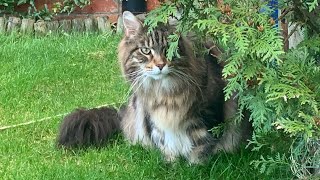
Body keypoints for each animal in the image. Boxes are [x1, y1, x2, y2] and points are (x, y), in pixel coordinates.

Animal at [57, 10, 252, 164]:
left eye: (168, 49)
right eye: (145, 51)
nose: (160, 65)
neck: (164, 92)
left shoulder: (208, 113)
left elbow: (200, 147)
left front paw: (194, 168)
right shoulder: (155, 119)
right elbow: (165, 144)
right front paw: (172, 166)